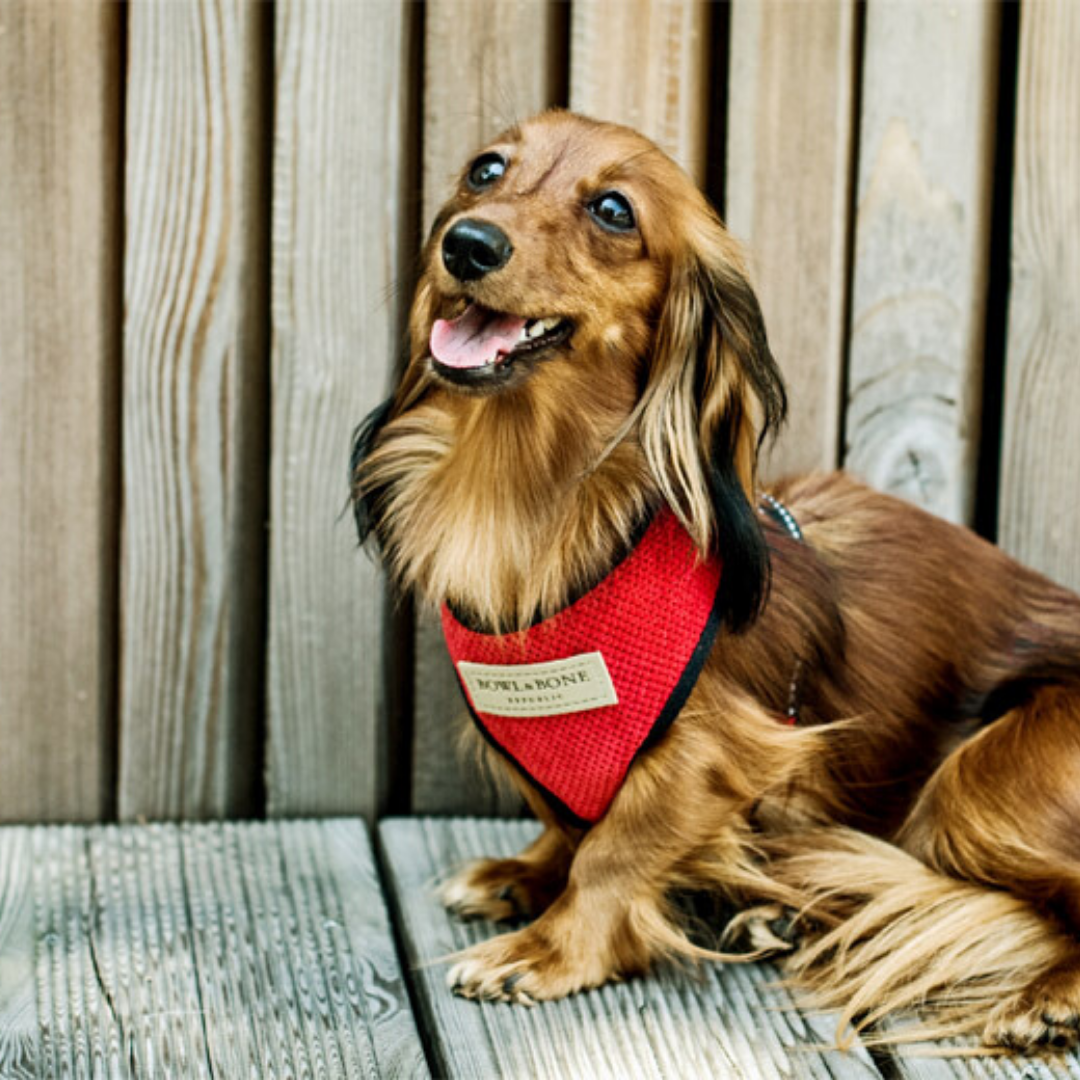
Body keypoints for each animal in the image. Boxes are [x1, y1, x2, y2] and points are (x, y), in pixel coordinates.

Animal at [352, 111, 1080, 1054]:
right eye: (485, 169)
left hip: (989, 774)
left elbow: (615, 848)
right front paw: (527, 872)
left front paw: (550, 948)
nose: (467, 244)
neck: (531, 496)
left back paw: (1046, 995)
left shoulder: (719, 752)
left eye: (615, 210)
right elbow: (569, 824)